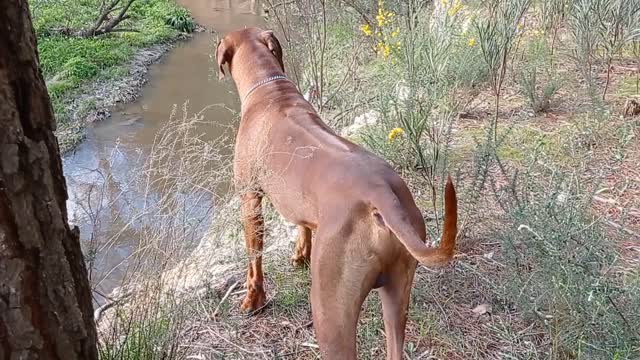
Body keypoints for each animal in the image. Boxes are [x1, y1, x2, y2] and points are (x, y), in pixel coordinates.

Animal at [218, 28, 458, 360]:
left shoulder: (249, 198)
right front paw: (300, 254)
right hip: (396, 293)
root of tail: (380, 195)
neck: (269, 88)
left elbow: (255, 258)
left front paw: (254, 299)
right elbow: (303, 226)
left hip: (329, 309)